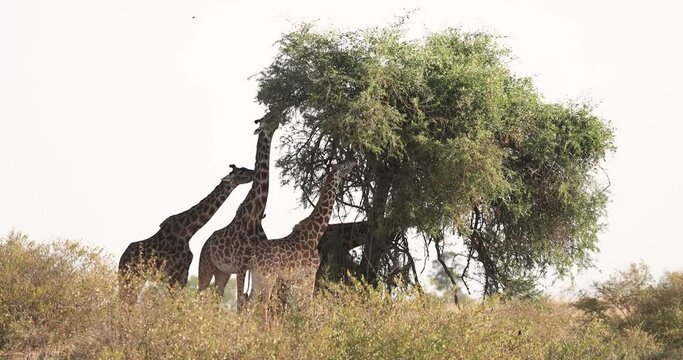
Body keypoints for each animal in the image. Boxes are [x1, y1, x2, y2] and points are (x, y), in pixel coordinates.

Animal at [119, 165, 255, 302]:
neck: (188, 231)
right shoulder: (172, 274)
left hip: (139, 278)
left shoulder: (183, 273)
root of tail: (121, 258)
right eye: (241, 172)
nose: (254, 173)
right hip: (129, 276)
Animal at [196, 113, 280, 306]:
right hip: (206, 267)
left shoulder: (253, 266)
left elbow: (251, 300)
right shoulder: (242, 264)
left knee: (218, 296)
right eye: (266, 119)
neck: (256, 214)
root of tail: (205, 244)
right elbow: (241, 301)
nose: (278, 117)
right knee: (199, 294)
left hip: (223, 272)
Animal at [251, 159, 358, 306]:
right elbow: (308, 302)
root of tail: (253, 257)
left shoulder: (298, 278)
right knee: (262, 304)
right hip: (268, 277)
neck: (315, 234)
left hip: (257, 278)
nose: (354, 161)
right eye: (344, 165)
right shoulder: (310, 273)